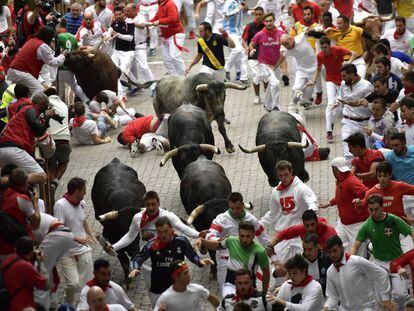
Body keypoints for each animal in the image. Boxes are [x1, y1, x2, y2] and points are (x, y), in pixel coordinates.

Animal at [90, 158, 146, 288]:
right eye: (122, 228)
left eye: (138, 229)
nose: (133, 250)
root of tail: (115, 161)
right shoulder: (114, 238)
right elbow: (123, 260)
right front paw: (127, 280)